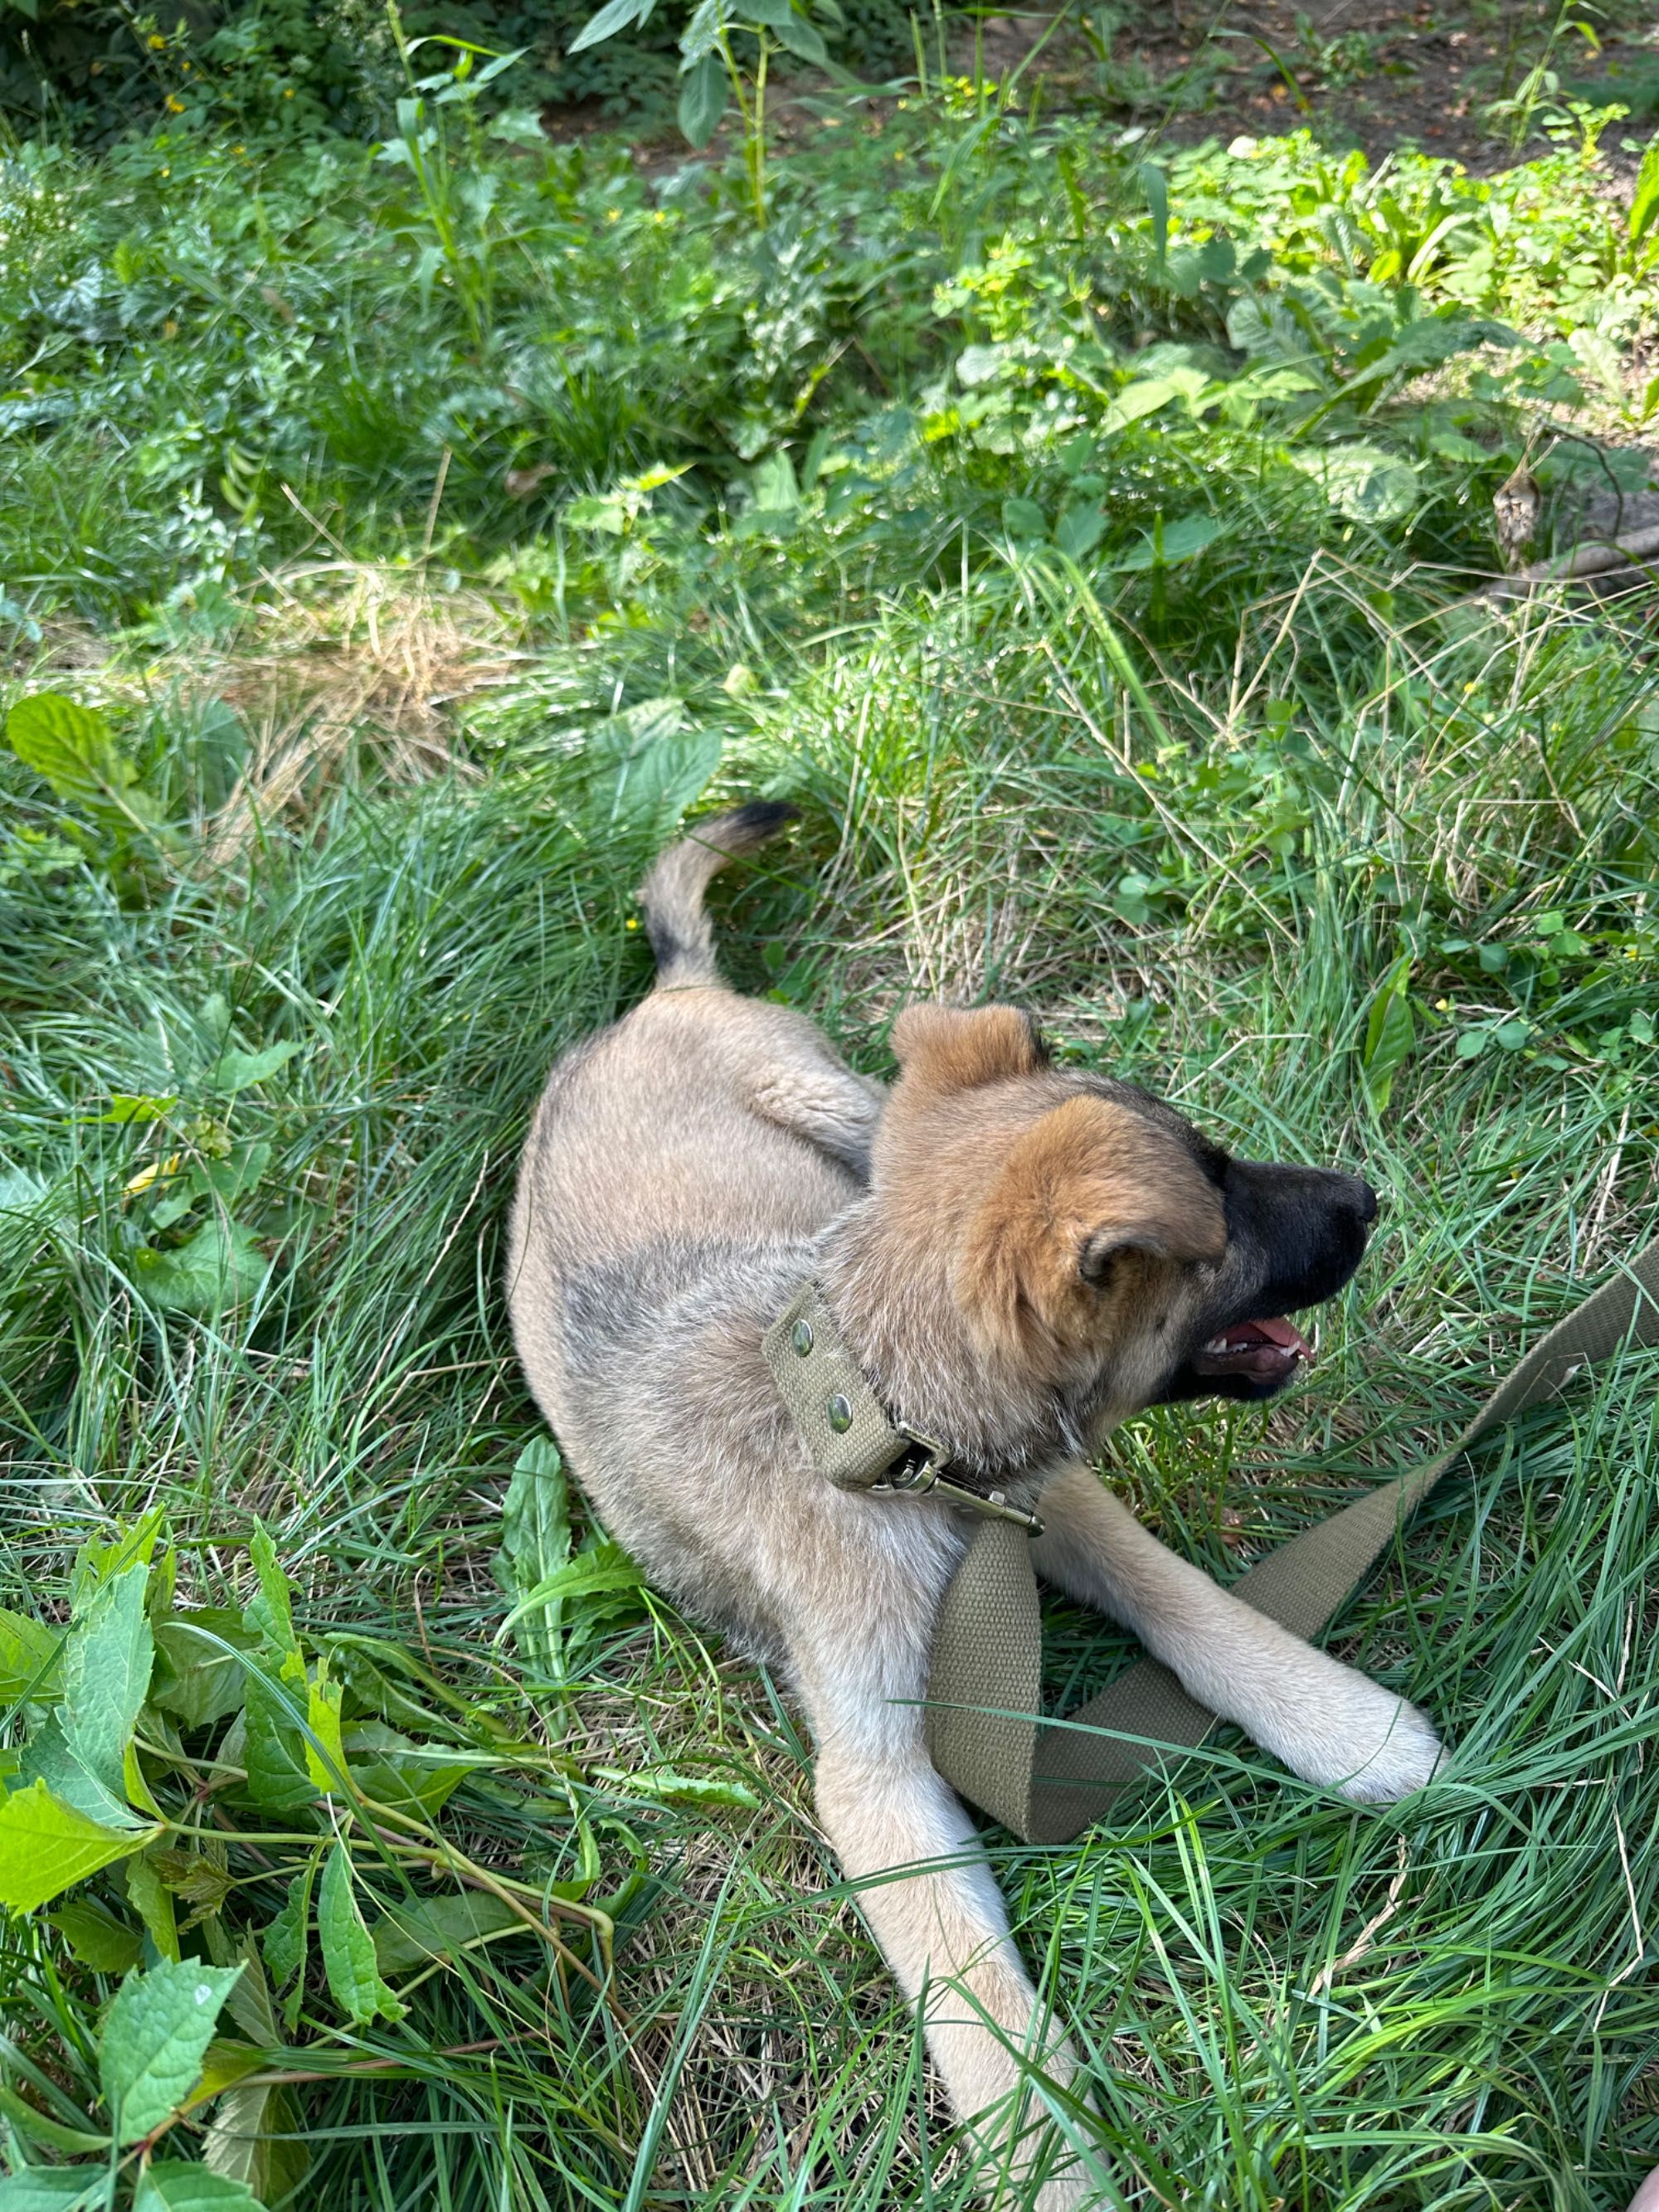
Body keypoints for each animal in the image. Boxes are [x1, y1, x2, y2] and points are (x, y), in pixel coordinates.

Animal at [504, 814, 1442, 2212]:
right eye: (1220, 1205)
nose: (1369, 1197)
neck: (890, 1433)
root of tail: (661, 995)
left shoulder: (1053, 1497)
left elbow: (1185, 1598)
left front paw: (1340, 1721)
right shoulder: (876, 1776)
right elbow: (980, 2000)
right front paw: (1051, 2163)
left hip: (840, 1105)